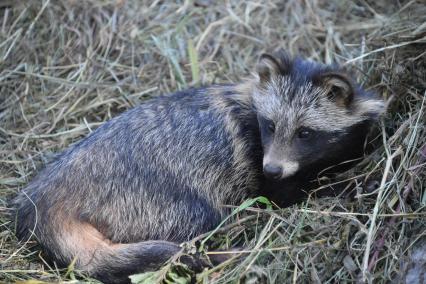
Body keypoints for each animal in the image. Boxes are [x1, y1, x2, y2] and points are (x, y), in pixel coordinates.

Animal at [13, 52, 386, 282]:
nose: (273, 169)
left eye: (305, 132)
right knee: (199, 219)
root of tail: (44, 200)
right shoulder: (258, 160)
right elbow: (285, 195)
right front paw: (337, 186)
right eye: (269, 125)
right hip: (150, 197)